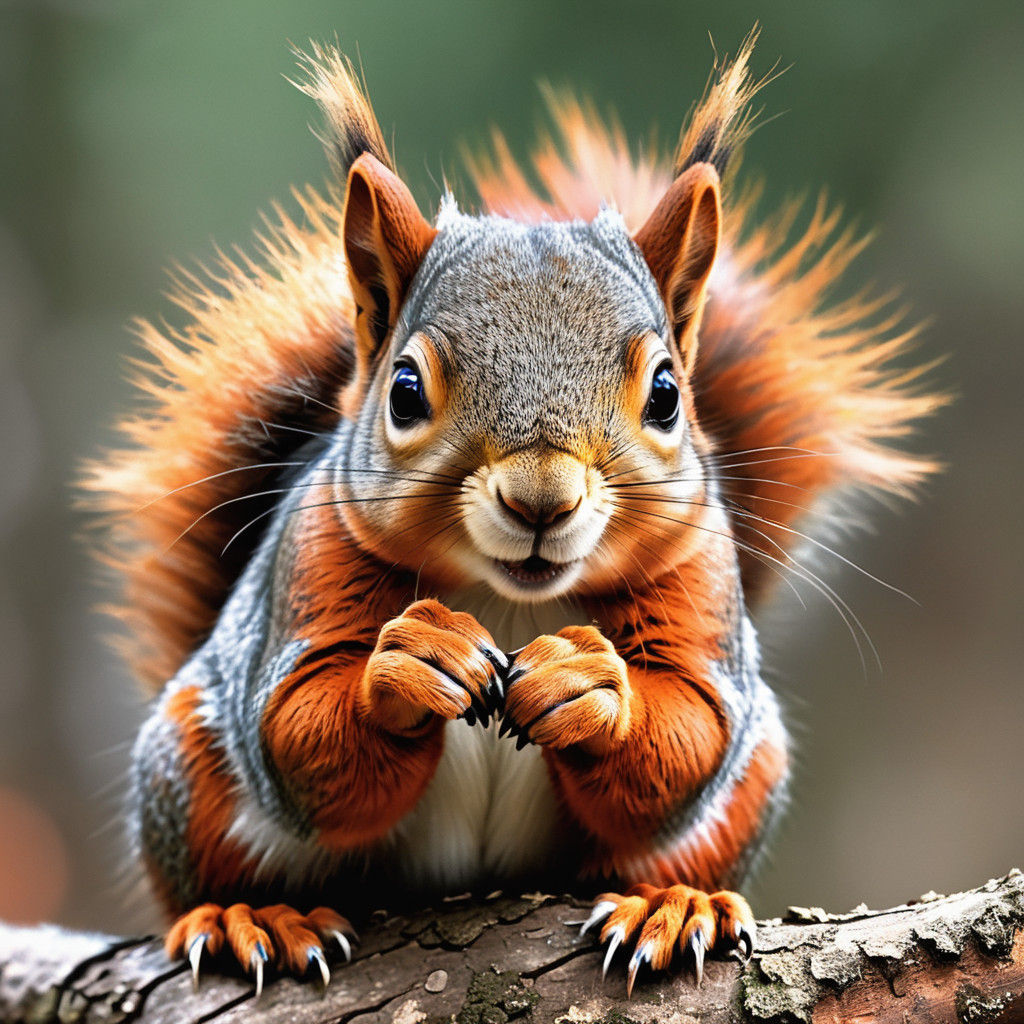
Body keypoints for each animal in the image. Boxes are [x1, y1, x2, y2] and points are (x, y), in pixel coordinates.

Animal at [83, 35, 940, 996]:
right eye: (404, 390)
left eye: (668, 394)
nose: (541, 499)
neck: (510, 598)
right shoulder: (313, 553)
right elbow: (297, 725)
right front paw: (414, 661)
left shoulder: (702, 575)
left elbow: (687, 728)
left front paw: (589, 683)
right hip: (188, 765)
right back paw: (248, 916)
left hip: (752, 779)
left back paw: (674, 904)